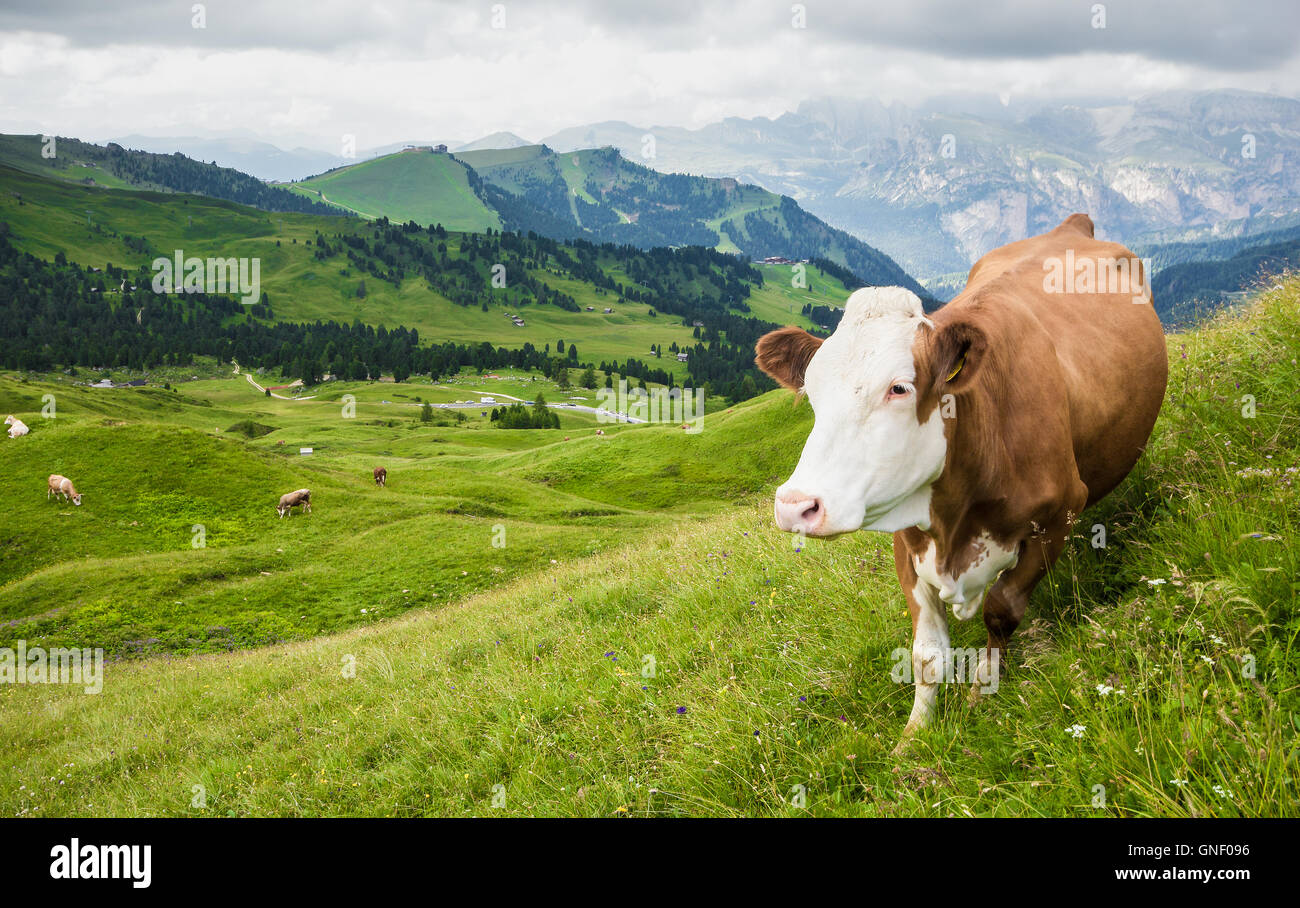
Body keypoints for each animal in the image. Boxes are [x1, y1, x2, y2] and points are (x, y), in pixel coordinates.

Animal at [755, 214, 1167, 743]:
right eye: (811, 391)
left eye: (899, 388)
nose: (796, 506)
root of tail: (1071, 225)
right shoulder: (907, 538)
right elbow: (927, 654)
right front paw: (914, 736)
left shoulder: (1060, 513)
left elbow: (1002, 610)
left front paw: (980, 698)